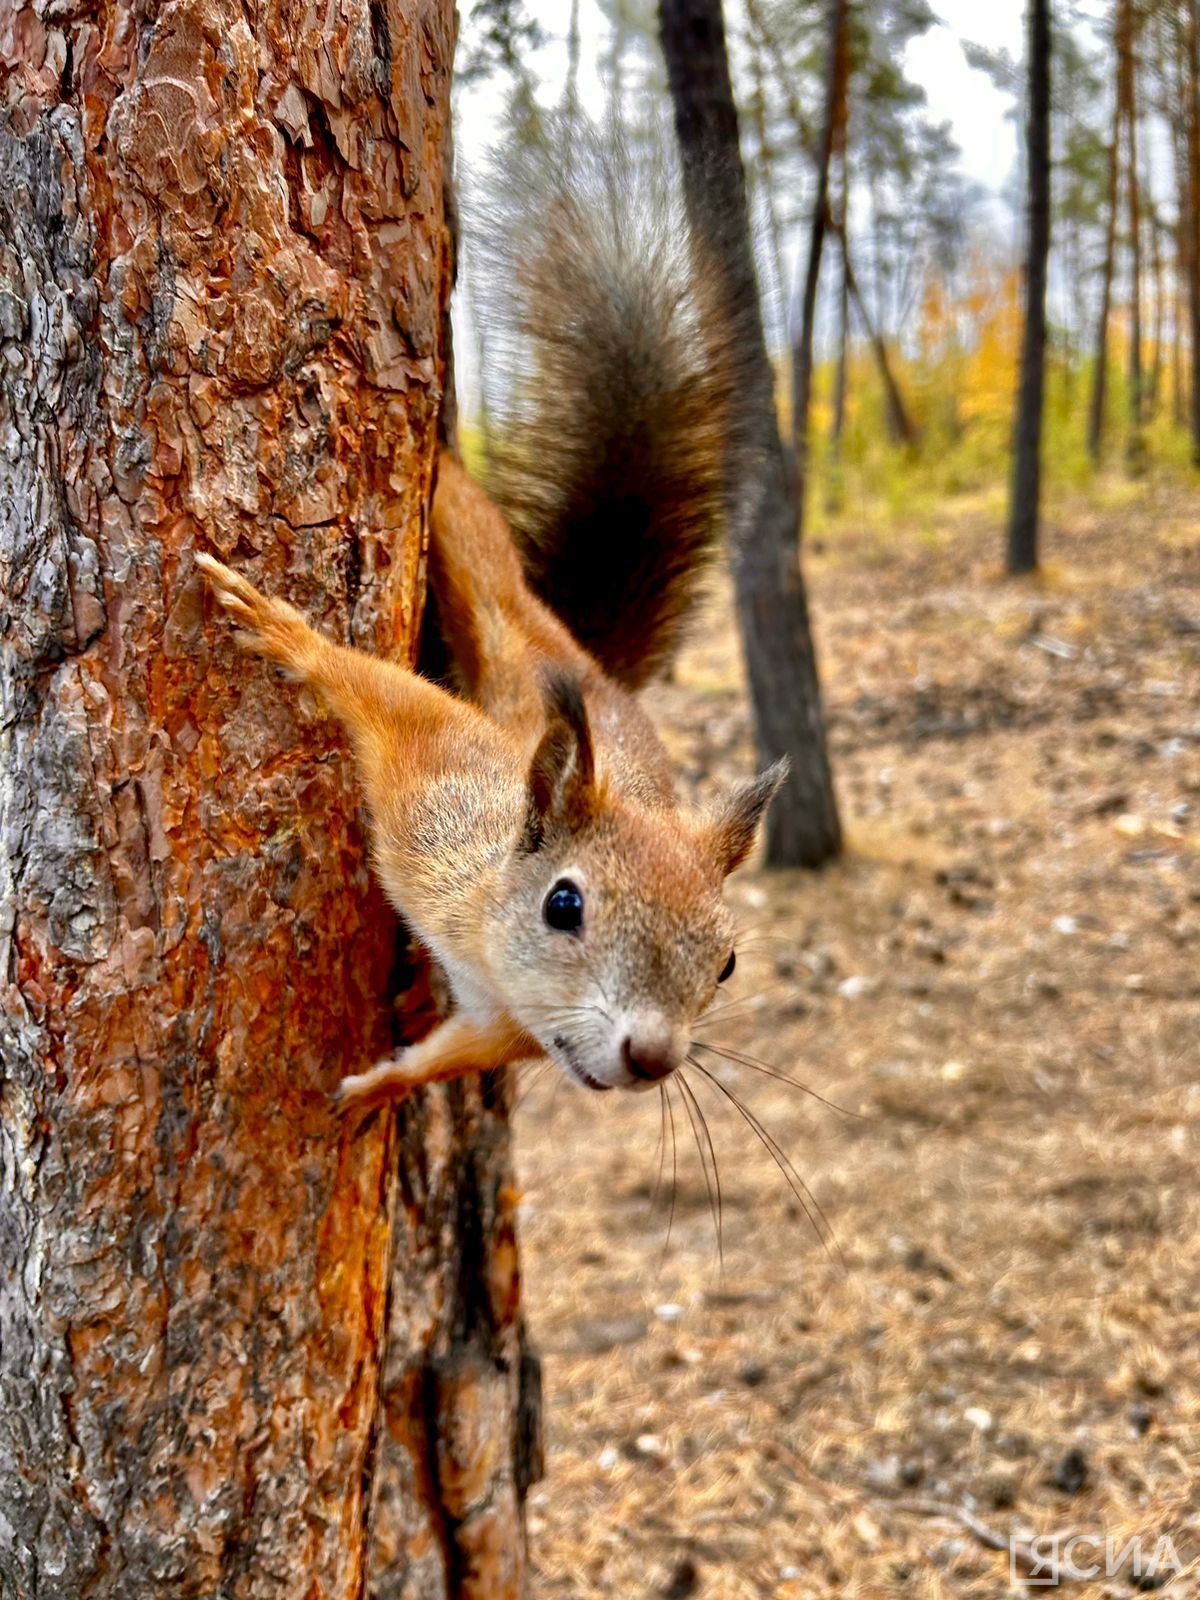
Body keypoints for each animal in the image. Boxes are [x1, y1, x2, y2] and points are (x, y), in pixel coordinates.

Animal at [196, 137, 784, 1113]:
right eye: (564, 905)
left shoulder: (501, 1025)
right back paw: (440, 447)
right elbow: (381, 694)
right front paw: (290, 637)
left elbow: (447, 1054)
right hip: (493, 594)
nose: (654, 1058)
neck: (482, 934)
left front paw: (379, 1088)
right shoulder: (435, 787)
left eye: (729, 962)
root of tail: (587, 661)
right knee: (474, 541)